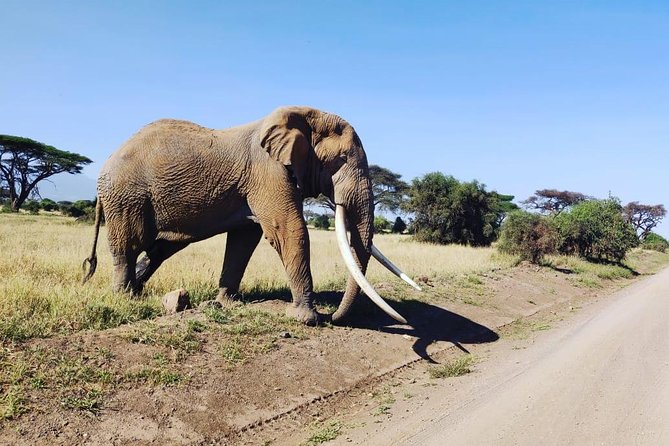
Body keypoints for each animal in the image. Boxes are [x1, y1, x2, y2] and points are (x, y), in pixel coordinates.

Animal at [82, 106, 418, 326]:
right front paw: (306, 318)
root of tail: (106, 162)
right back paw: (125, 297)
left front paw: (225, 303)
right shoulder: (267, 170)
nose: (333, 316)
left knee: (160, 249)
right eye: (342, 159)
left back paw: (138, 291)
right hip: (126, 196)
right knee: (129, 245)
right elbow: (289, 229)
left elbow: (245, 240)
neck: (303, 116)